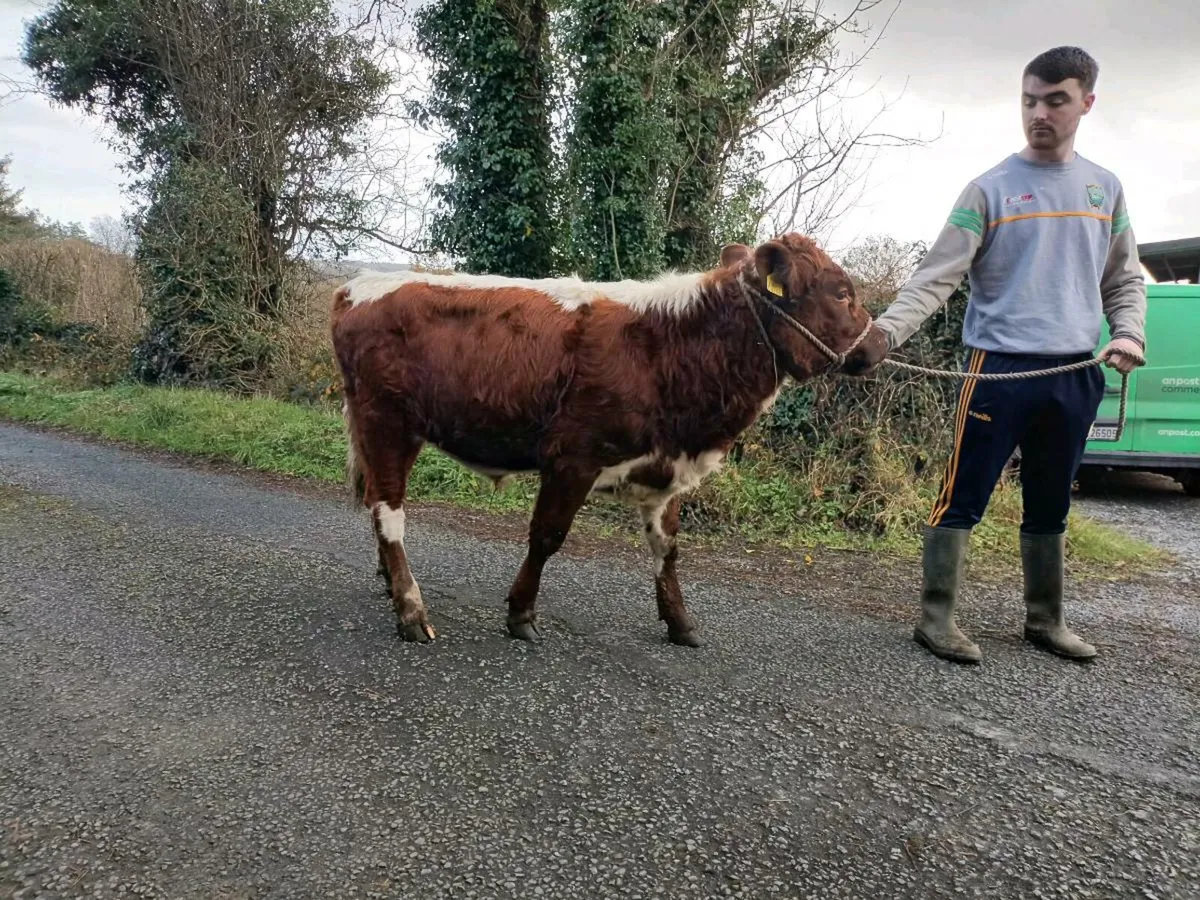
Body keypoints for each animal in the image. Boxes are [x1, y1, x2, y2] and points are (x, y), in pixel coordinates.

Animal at [330, 234, 888, 647]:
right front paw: (521, 614)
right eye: (842, 292)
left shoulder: (665, 465)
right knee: (389, 511)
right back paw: (410, 610)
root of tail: (358, 285)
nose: (882, 343)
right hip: (386, 421)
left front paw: (680, 622)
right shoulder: (573, 458)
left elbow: (667, 548)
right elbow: (547, 536)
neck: (672, 345)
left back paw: (390, 587)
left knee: (377, 503)